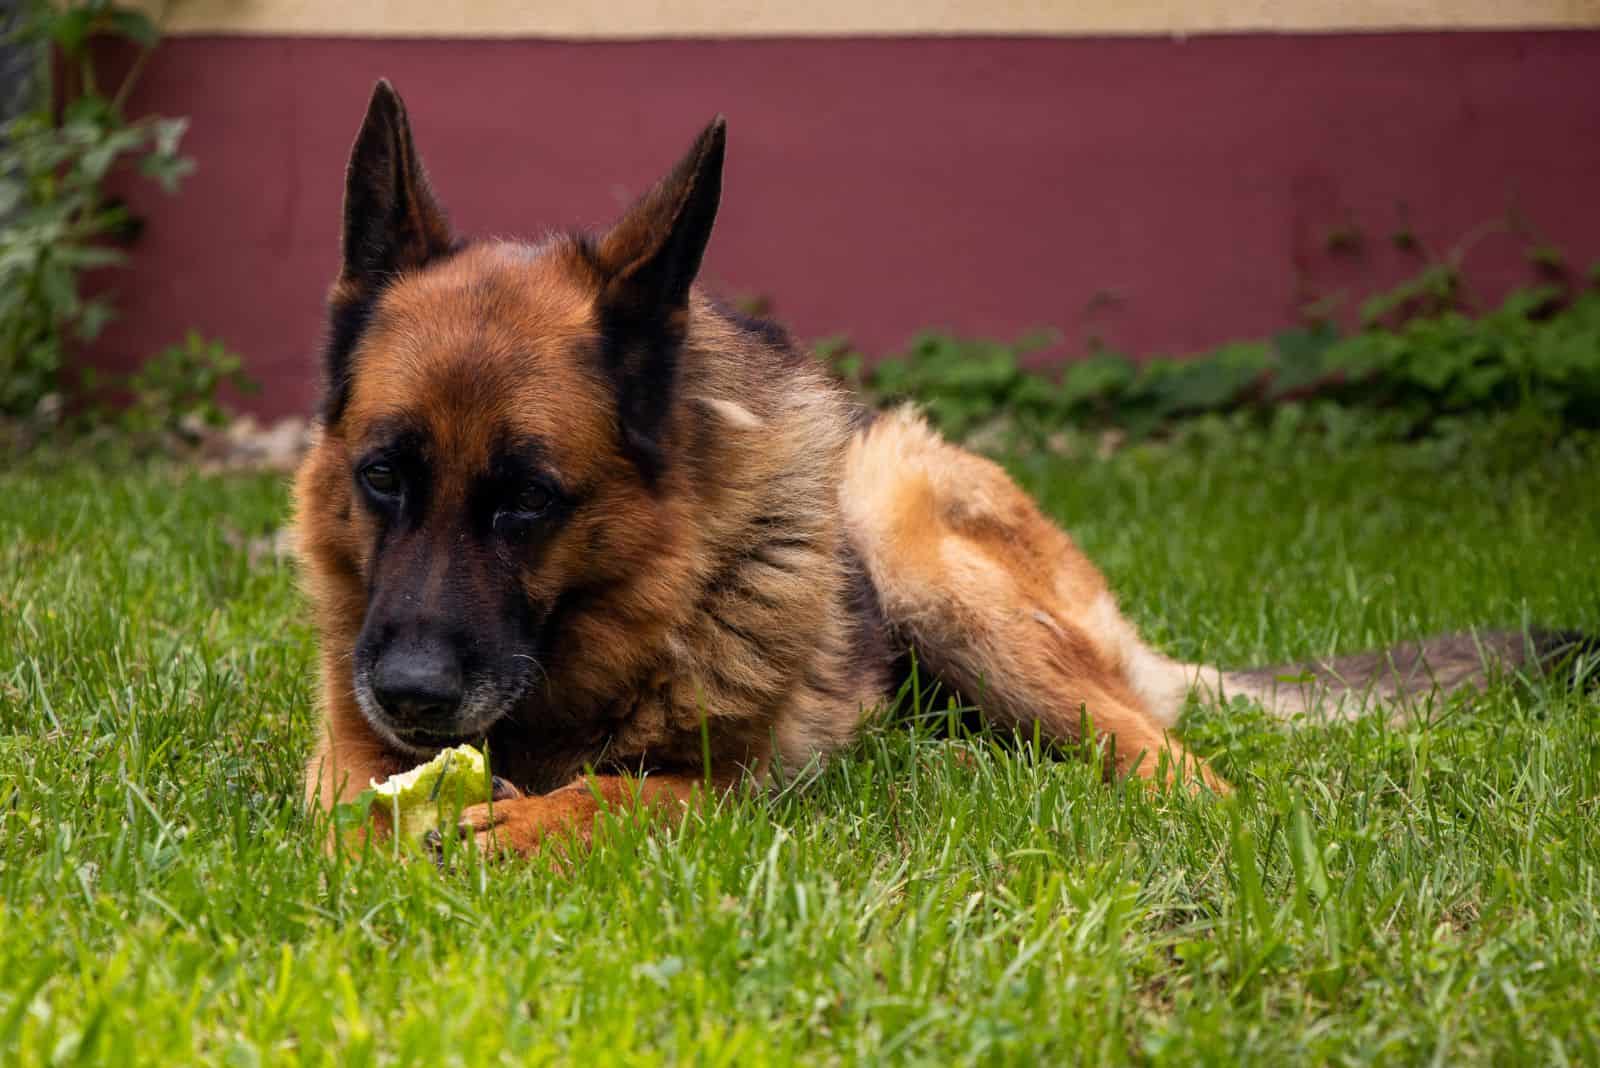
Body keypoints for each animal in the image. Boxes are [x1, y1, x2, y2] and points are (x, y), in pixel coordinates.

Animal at [297, 81, 1587, 850]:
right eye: (382, 476)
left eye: (527, 501)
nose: (409, 696)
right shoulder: (344, 754)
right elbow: (355, 807)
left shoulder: (748, 790)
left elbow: (629, 792)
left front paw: (527, 825)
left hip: (925, 557)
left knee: (1163, 749)